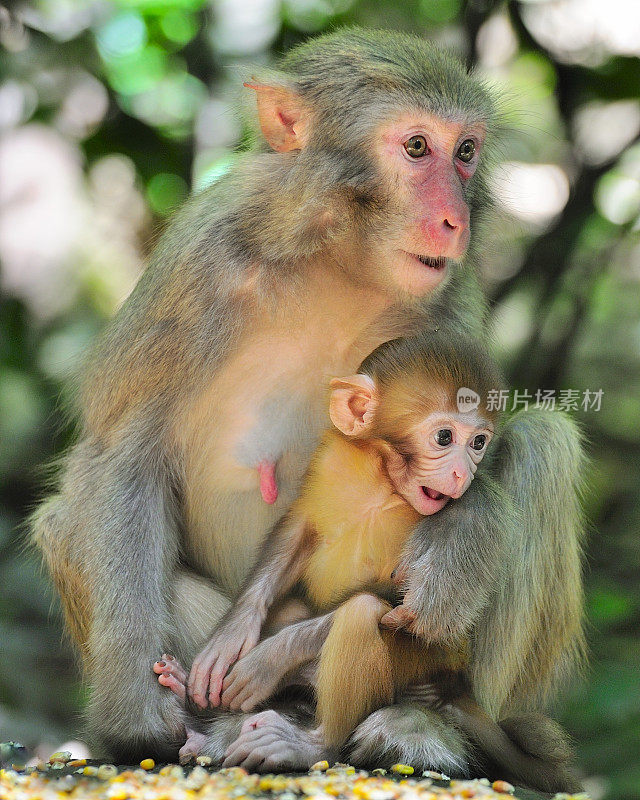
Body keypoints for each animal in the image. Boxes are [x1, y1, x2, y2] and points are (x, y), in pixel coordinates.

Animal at [156, 334, 576, 792]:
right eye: (444, 437)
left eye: (478, 443)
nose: (463, 474)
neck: (384, 483)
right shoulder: (330, 457)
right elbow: (301, 528)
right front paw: (231, 636)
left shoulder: (457, 520)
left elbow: (408, 612)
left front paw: (268, 659)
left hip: (424, 664)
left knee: (363, 612)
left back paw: (311, 740)